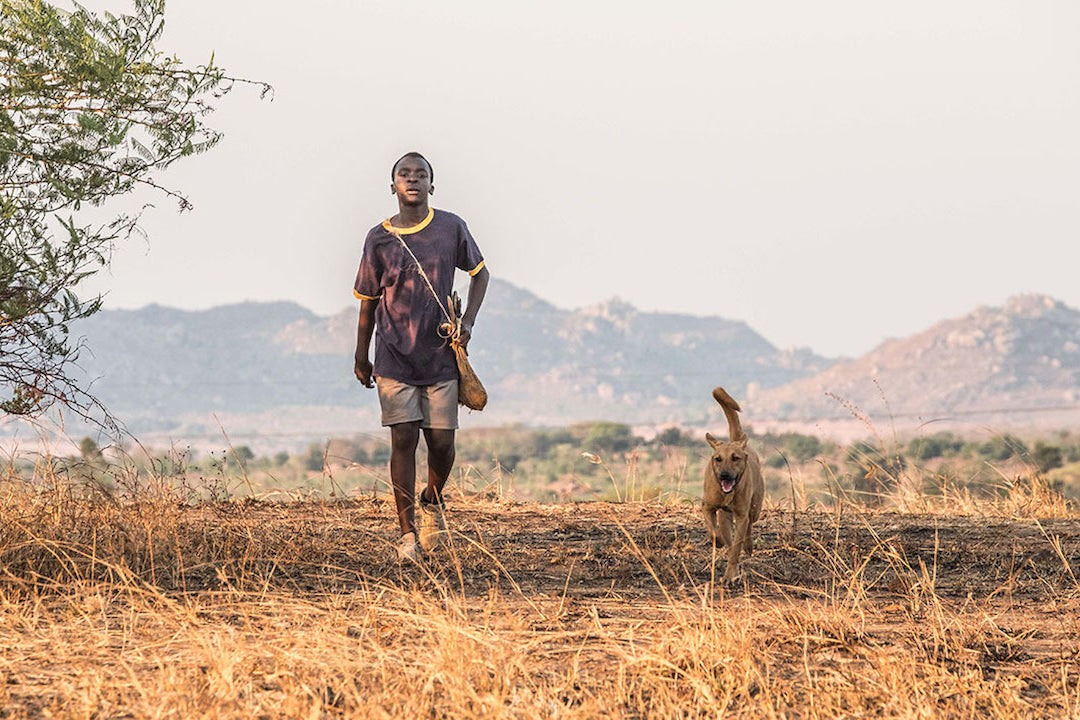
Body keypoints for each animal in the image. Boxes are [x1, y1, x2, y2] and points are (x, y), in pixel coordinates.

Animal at [704, 386, 764, 582]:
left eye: (735, 458)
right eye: (718, 459)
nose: (724, 475)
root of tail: (737, 440)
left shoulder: (742, 514)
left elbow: (736, 547)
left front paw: (730, 575)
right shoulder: (708, 507)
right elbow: (715, 532)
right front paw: (718, 542)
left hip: (755, 509)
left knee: (749, 527)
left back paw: (748, 546)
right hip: (725, 517)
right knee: (728, 536)